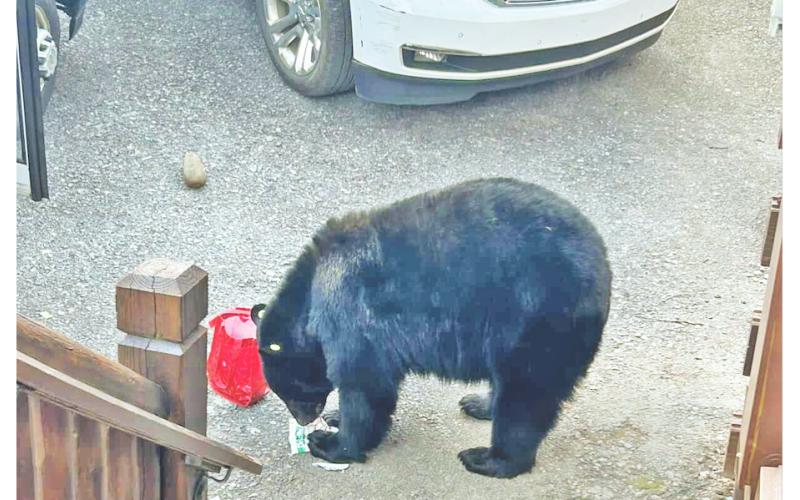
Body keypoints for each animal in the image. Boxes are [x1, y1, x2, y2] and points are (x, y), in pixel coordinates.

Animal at [251, 177, 612, 479]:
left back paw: (489, 458)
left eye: (290, 391)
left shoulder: (351, 308)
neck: (311, 289)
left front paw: (332, 443)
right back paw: (480, 404)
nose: (302, 419)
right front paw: (335, 417)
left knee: (526, 396)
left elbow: (364, 382)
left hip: (539, 321)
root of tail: (602, 268)